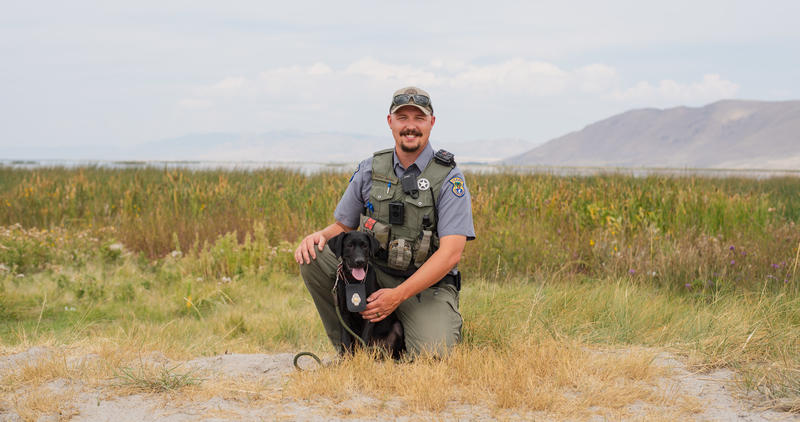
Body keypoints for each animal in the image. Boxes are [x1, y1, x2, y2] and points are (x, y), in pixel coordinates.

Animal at [326, 231, 404, 360]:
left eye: (365, 246)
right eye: (349, 245)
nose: (360, 261)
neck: (354, 281)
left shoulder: (371, 313)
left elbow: (364, 338)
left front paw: (362, 358)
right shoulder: (343, 313)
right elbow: (346, 339)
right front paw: (346, 359)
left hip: (397, 328)